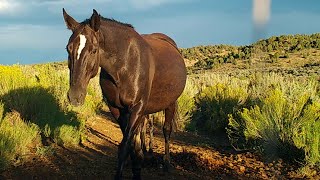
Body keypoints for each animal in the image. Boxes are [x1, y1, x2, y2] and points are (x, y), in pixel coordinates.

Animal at [63, 9, 186, 179]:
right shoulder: (117, 109)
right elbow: (132, 146)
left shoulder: (137, 108)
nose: (75, 96)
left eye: (94, 50)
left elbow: (124, 147)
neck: (124, 65)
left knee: (167, 130)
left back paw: (166, 163)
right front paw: (137, 168)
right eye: (68, 48)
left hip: (170, 103)